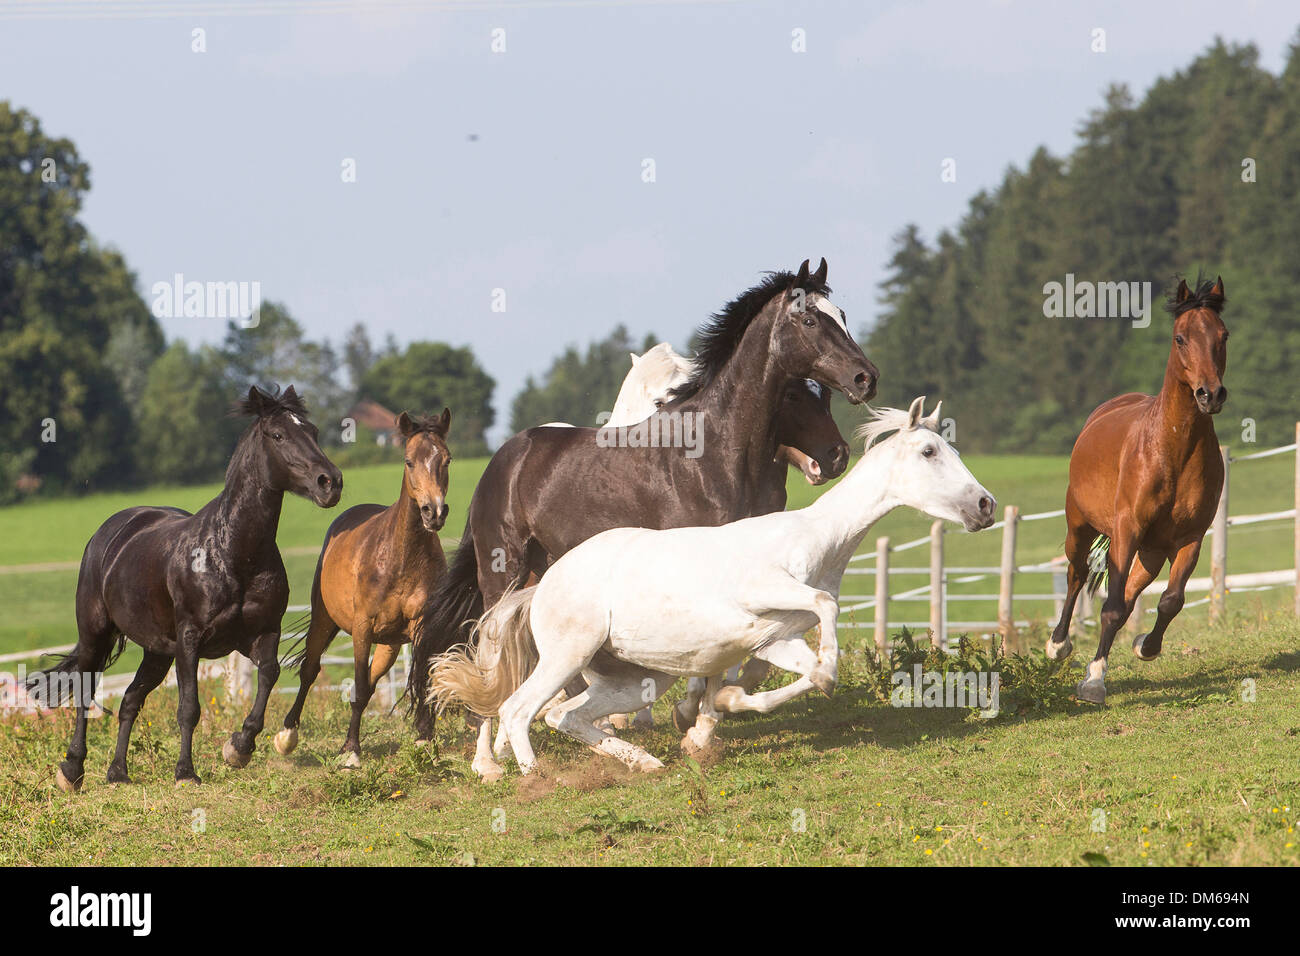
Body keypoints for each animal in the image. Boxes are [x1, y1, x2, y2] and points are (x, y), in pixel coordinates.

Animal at [25, 386, 342, 790]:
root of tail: (109, 532)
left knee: (130, 700)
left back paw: (118, 772)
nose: (330, 482)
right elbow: (189, 707)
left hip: (157, 651)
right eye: (278, 435)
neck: (232, 553)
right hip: (96, 633)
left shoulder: (262, 633)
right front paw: (186, 772)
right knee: (84, 693)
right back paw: (72, 770)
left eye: (313, 431)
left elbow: (269, 675)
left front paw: (239, 747)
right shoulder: (190, 640)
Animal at [273, 409, 452, 767]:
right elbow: (354, 685)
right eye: (409, 461)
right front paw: (352, 752)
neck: (401, 557)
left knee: (369, 685)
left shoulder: (422, 627)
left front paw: (424, 741)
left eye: (447, 459)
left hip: (390, 645)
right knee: (310, 670)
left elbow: (419, 680)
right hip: (324, 619)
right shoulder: (362, 627)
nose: (434, 512)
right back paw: (288, 736)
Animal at [410, 258, 876, 781]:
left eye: (841, 314)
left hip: (544, 568)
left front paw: (700, 726)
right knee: (491, 646)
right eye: (810, 320)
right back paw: (489, 760)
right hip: (503, 568)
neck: (715, 452)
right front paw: (691, 721)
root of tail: (505, 457)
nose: (866, 378)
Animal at [428, 398, 996, 774]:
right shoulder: (762, 592)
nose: (985, 504)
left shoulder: (777, 637)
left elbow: (782, 675)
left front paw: (719, 711)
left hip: (631, 681)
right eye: (929, 451)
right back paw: (531, 775)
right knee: (519, 710)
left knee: (565, 716)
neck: (817, 538)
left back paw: (643, 761)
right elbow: (823, 615)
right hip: (567, 656)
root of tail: (541, 587)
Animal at [1045, 277, 1229, 704]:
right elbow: (1110, 607)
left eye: (1223, 335)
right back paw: (1058, 644)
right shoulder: (1127, 528)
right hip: (1082, 527)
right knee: (1077, 574)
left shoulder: (1190, 538)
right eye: (1181, 337)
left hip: (1151, 552)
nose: (1210, 395)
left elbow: (1170, 601)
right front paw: (1094, 681)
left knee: (1129, 594)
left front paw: (1145, 645)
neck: (1172, 450)